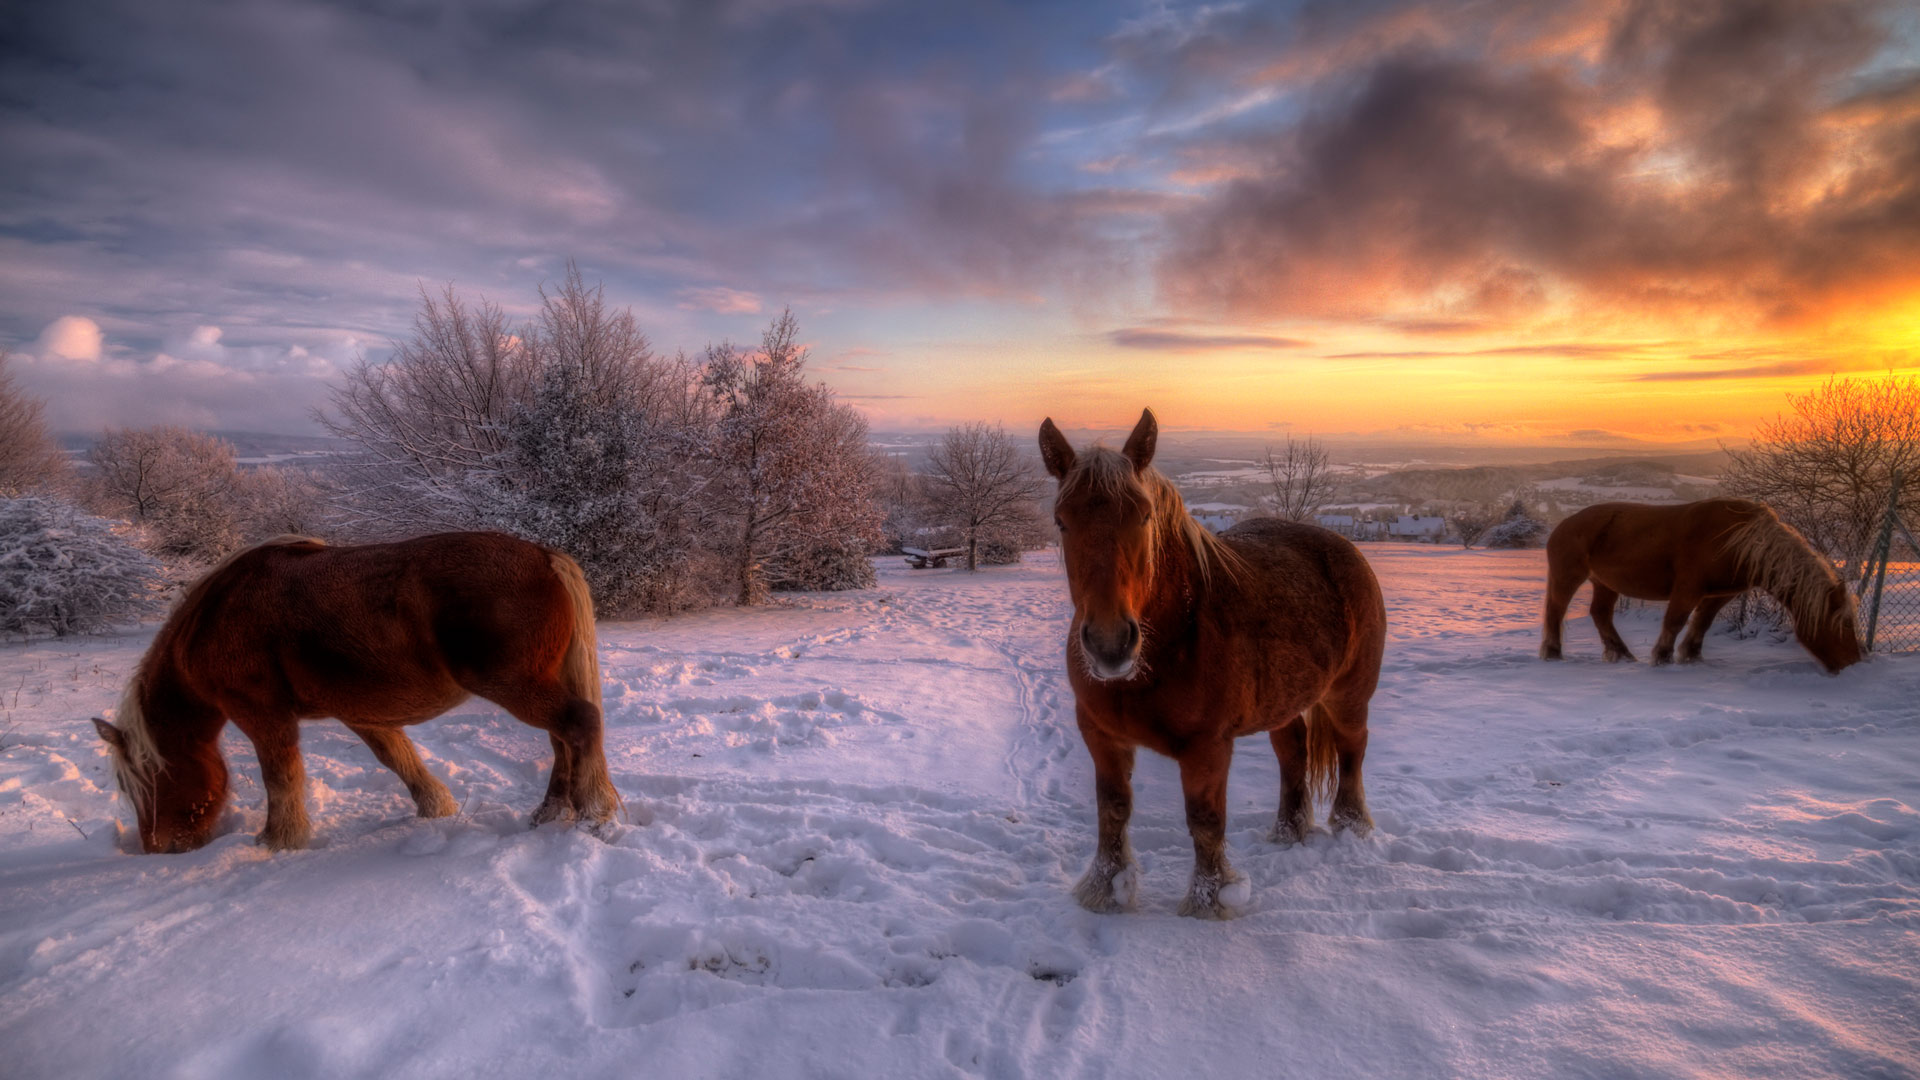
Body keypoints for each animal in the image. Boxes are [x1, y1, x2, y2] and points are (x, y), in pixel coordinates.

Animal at [90, 530, 614, 849]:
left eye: (145, 779)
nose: (159, 848)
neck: (216, 617)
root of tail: (545, 557)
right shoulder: (362, 714)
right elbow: (400, 761)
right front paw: (436, 808)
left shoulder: (264, 717)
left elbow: (281, 779)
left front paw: (278, 840)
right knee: (563, 740)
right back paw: (550, 813)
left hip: (517, 686)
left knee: (579, 725)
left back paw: (596, 813)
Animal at [1044, 407, 1390, 910]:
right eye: (1061, 521)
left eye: (1144, 516)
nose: (1111, 644)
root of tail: (1343, 547)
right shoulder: (1101, 737)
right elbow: (1112, 811)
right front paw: (1105, 888)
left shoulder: (1207, 748)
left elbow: (1205, 821)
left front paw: (1211, 901)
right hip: (1284, 702)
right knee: (1293, 752)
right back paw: (1288, 831)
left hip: (1349, 697)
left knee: (1351, 751)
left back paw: (1351, 827)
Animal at [1543, 499, 1858, 668]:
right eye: (1843, 624)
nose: (1852, 662)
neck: (1739, 541)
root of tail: (1563, 524)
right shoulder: (1687, 589)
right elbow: (1675, 622)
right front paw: (1662, 659)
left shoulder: (1718, 594)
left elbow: (1702, 623)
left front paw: (1692, 657)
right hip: (1568, 576)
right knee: (1556, 611)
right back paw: (1553, 653)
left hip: (1605, 583)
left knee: (1600, 614)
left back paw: (1622, 655)